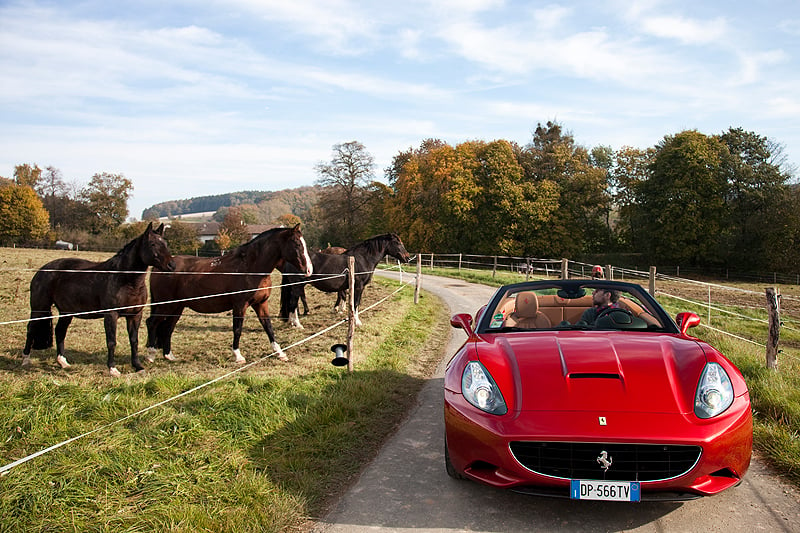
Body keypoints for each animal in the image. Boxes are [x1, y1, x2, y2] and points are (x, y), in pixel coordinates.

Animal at [23, 222, 175, 376]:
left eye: (165, 243)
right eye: (152, 244)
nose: (172, 265)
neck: (126, 279)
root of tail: (43, 270)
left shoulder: (135, 315)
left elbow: (134, 341)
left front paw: (138, 366)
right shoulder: (111, 315)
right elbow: (111, 342)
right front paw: (113, 369)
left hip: (66, 312)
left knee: (60, 331)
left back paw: (63, 362)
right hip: (39, 308)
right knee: (31, 328)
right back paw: (25, 360)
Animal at [146, 222, 312, 364]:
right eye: (297, 244)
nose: (309, 270)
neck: (250, 267)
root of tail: (160, 267)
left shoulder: (261, 303)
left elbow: (268, 327)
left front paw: (280, 353)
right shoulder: (239, 305)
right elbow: (237, 329)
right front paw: (238, 356)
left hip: (177, 307)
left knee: (168, 328)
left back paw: (169, 356)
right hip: (165, 306)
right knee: (152, 323)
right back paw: (151, 355)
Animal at [278, 234, 410, 328]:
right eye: (397, 243)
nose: (407, 257)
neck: (362, 259)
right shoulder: (358, 286)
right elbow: (356, 304)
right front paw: (357, 322)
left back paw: (292, 322)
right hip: (297, 286)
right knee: (293, 303)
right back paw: (297, 324)